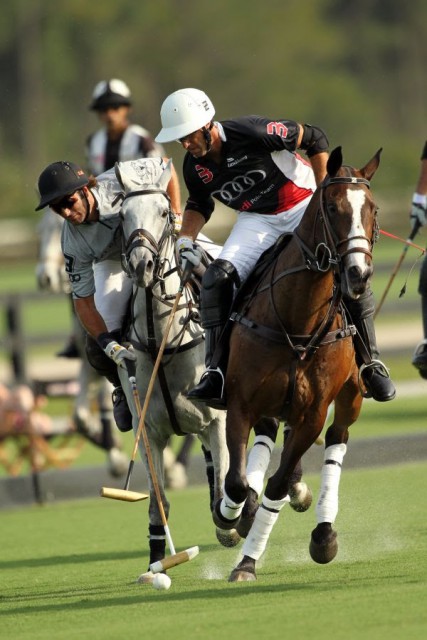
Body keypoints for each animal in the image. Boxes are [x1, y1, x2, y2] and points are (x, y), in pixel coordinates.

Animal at [214, 148, 382, 584]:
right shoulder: (241, 403)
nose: (358, 274)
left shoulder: (312, 414)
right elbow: (236, 482)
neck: (297, 321)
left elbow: (275, 486)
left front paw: (248, 562)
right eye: (333, 207)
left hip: (350, 396)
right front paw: (231, 519)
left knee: (338, 438)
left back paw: (323, 532)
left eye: (372, 209)